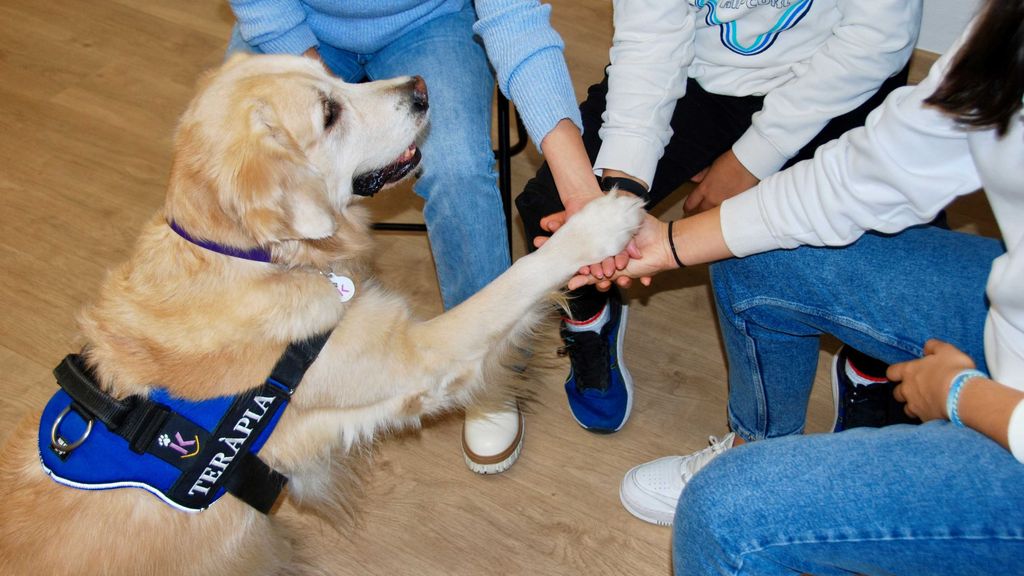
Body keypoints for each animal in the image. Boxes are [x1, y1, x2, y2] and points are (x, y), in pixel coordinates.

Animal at [0, 53, 638, 573]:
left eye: (334, 77)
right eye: (329, 114)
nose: (420, 87)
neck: (252, 257)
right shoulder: (414, 358)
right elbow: (516, 279)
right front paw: (598, 224)